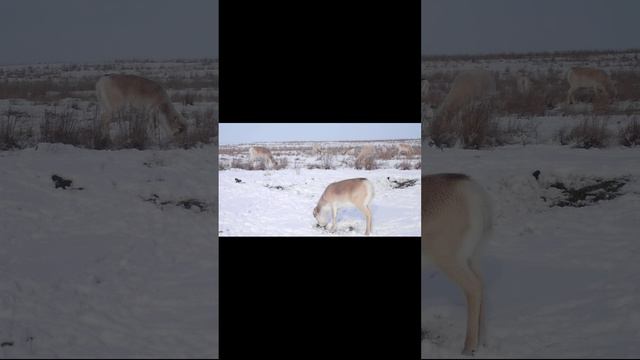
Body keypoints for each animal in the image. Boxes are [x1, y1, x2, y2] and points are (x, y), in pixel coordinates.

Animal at [422, 174, 492, 354]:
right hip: (472, 257)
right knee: (482, 284)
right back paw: (482, 342)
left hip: (450, 260)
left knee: (473, 288)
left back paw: (468, 348)